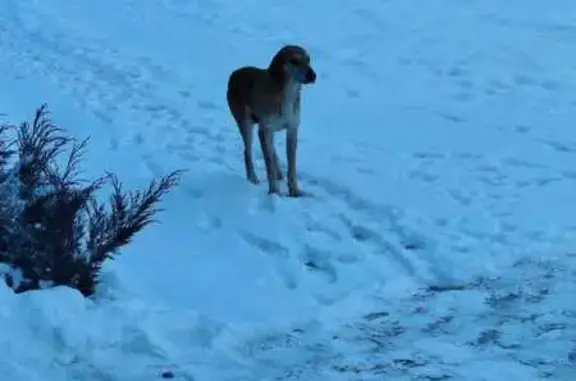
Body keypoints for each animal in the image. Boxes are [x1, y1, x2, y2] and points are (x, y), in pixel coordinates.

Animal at [226, 45, 318, 196]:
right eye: (294, 61)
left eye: (308, 59)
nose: (313, 75)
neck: (286, 94)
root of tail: (234, 74)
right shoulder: (265, 129)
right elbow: (269, 166)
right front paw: (274, 191)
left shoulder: (292, 129)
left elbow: (291, 165)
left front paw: (294, 191)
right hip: (246, 124)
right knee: (247, 152)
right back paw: (252, 178)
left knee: (271, 150)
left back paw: (279, 173)